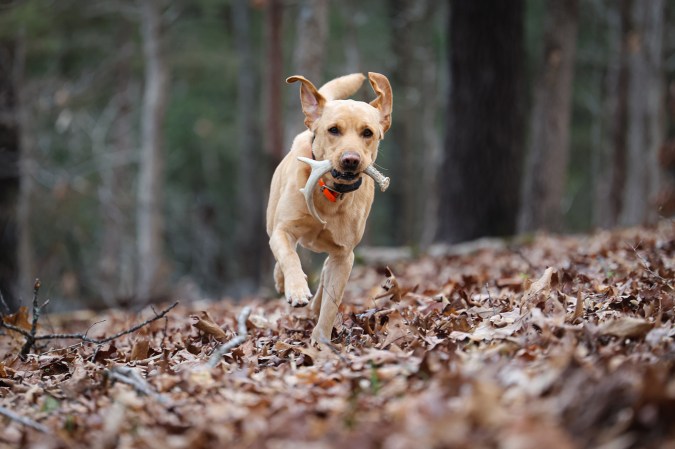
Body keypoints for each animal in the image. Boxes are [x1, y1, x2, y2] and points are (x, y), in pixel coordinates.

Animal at [266, 72, 394, 344]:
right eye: (333, 130)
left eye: (367, 133)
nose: (351, 160)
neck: (330, 192)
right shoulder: (284, 229)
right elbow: (289, 256)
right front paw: (296, 289)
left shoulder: (344, 255)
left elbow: (331, 303)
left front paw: (321, 341)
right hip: (273, 221)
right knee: (281, 251)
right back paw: (283, 282)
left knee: (324, 274)